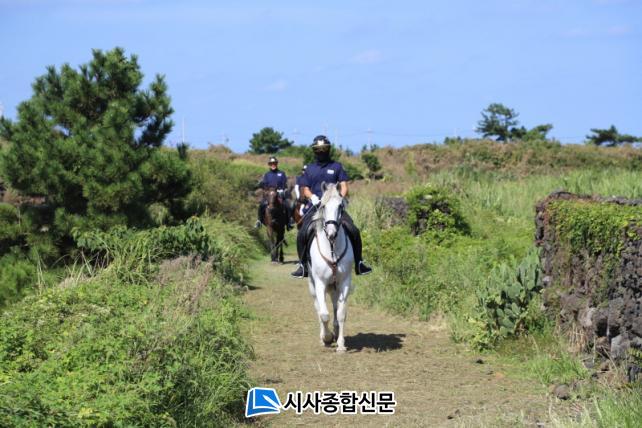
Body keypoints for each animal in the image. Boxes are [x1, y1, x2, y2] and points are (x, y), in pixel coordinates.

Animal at [308, 183, 354, 353]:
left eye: (341, 206)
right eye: (323, 206)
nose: (332, 233)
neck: (332, 247)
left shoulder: (344, 282)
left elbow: (341, 314)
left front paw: (340, 344)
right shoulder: (320, 283)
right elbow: (324, 314)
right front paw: (326, 338)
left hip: (334, 287)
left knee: (334, 307)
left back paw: (335, 331)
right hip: (313, 286)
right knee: (318, 309)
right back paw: (324, 336)